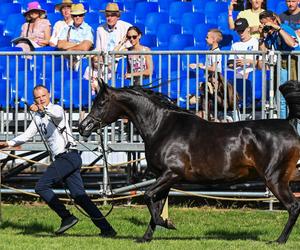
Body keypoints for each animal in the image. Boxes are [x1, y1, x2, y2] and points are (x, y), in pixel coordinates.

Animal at [78, 79, 300, 243]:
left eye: (101, 103)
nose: (83, 127)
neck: (161, 127)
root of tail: (288, 124)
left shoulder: (172, 174)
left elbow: (148, 196)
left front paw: (168, 224)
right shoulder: (163, 178)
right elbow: (155, 203)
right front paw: (146, 237)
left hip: (274, 178)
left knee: (293, 206)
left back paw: (279, 241)